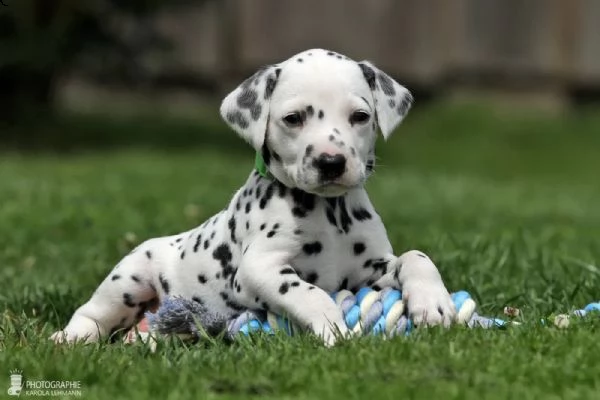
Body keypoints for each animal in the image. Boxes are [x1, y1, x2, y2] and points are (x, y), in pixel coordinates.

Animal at [51, 48, 454, 346]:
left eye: (360, 116)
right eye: (293, 118)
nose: (331, 162)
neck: (329, 213)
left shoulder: (368, 269)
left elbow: (417, 257)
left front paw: (434, 304)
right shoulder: (258, 270)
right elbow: (307, 291)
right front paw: (332, 327)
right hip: (128, 279)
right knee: (92, 313)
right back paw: (69, 338)